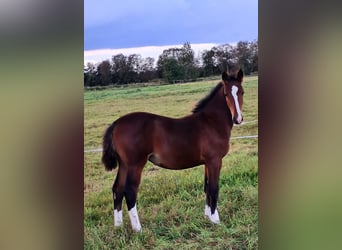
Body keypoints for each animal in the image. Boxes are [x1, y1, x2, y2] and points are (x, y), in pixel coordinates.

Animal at [100, 69, 244, 232]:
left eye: (242, 92)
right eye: (226, 94)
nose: (238, 119)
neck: (211, 122)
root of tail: (116, 123)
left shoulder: (207, 162)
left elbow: (206, 187)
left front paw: (207, 217)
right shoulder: (215, 160)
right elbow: (214, 188)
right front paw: (215, 221)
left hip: (124, 164)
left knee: (117, 190)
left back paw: (118, 226)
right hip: (135, 164)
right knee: (130, 192)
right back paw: (138, 229)